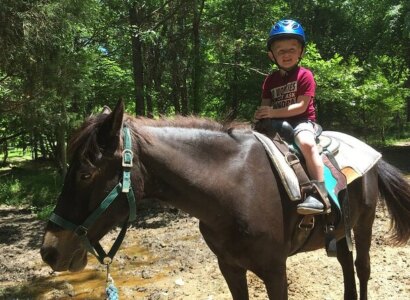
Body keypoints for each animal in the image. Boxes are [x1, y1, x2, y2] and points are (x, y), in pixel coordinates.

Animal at [40, 101, 410, 300]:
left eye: (85, 174)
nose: (49, 251)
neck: (234, 187)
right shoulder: (229, 266)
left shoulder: (275, 270)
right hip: (340, 232)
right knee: (346, 264)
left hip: (363, 226)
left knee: (361, 268)